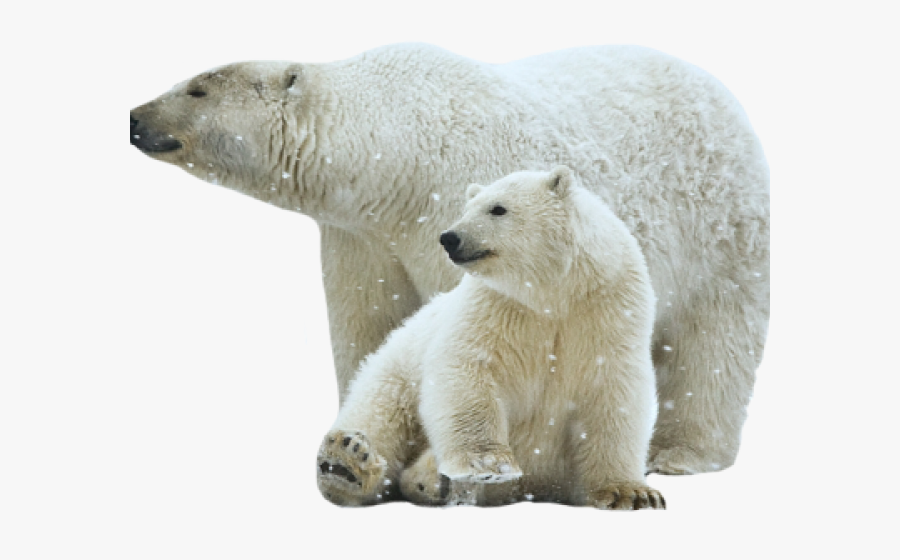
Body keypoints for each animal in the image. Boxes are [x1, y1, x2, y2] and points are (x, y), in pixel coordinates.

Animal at [315, 166, 664, 509]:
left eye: (498, 208)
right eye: (466, 208)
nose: (449, 237)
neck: (554, 293)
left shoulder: (608, 311)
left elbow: (614, 395)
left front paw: (632, 493)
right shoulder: (496, 306)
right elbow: (469, 366)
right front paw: (487, 464)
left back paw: (426, 478)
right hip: (396, 370)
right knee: (381, 411)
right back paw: (347, 462)